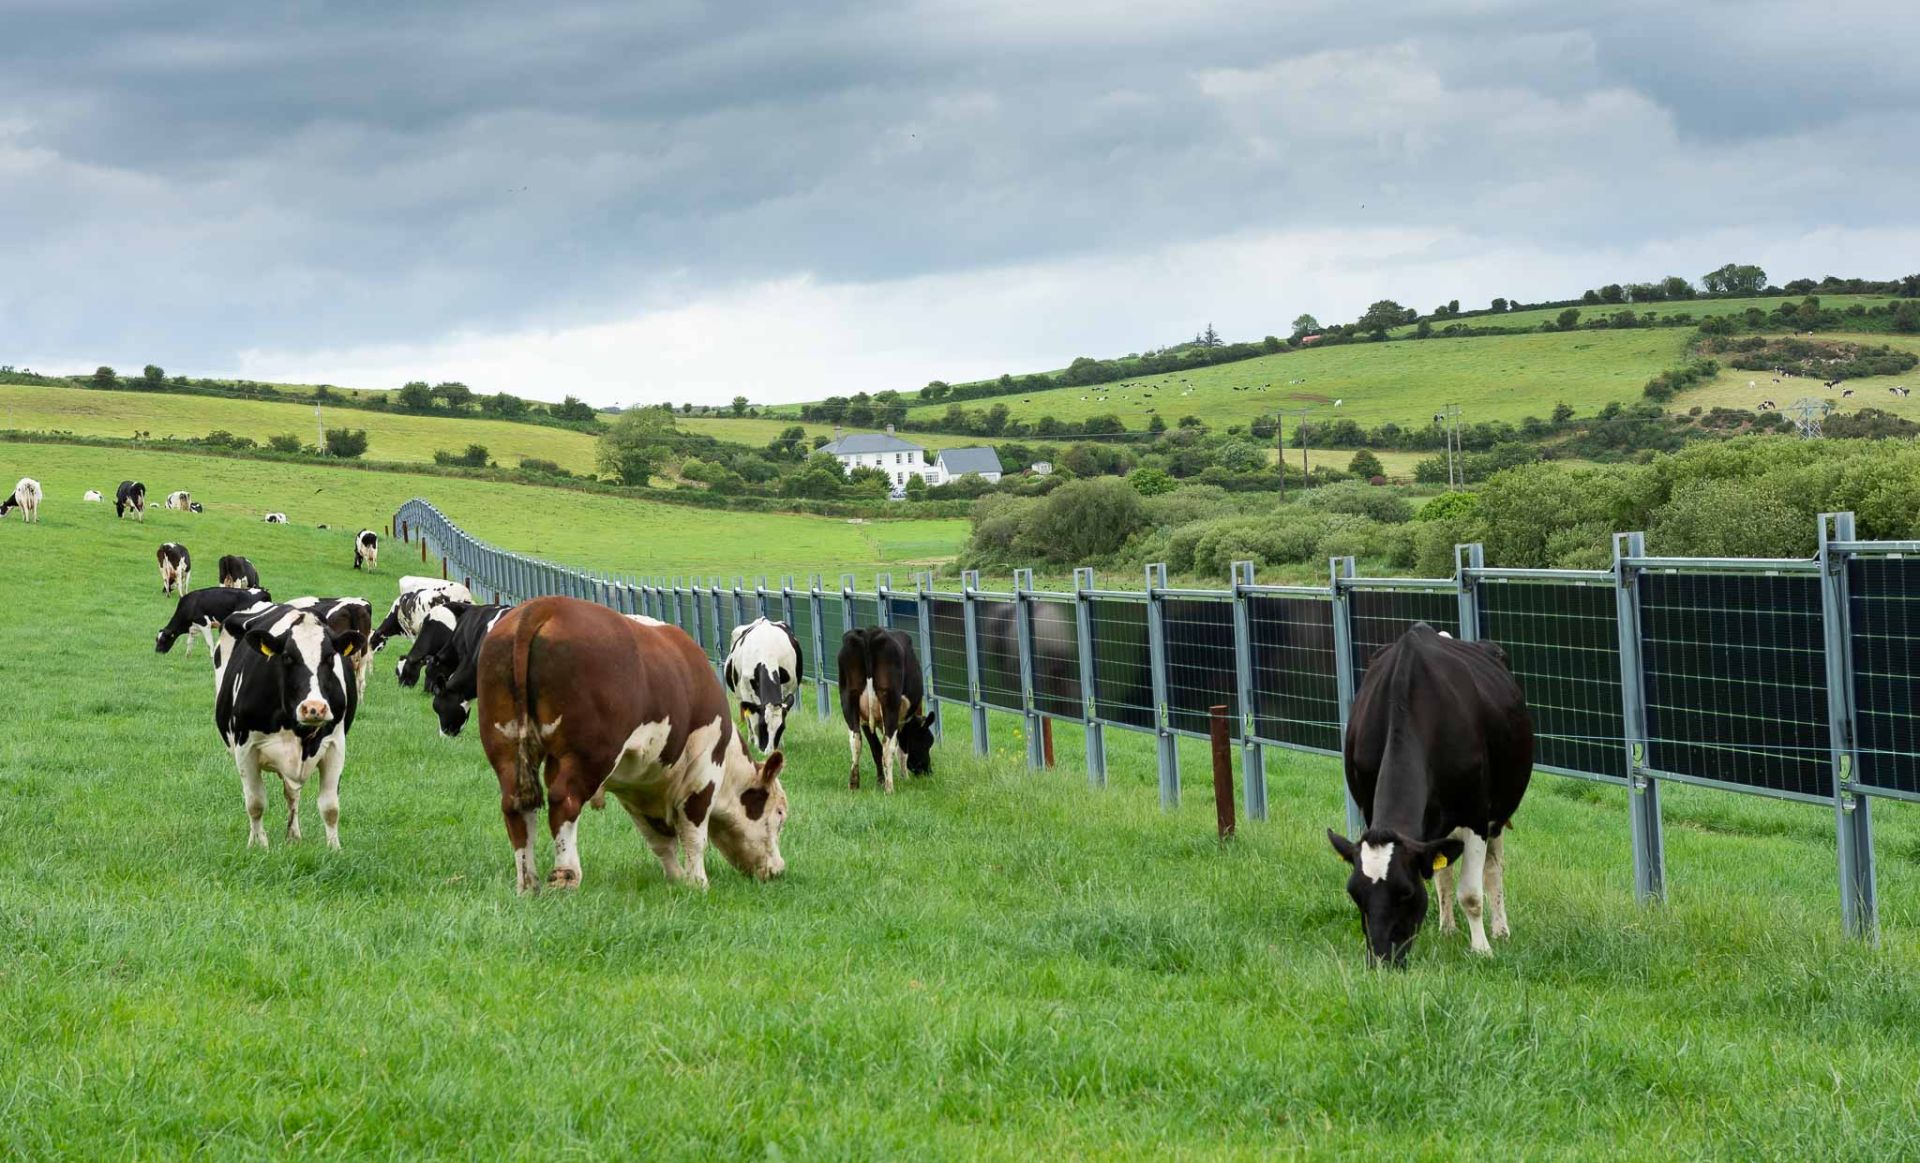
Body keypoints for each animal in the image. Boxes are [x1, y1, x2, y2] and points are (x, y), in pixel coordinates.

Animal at [210, 602, 366, 848]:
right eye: (287, 657)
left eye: (330, 657)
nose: (314, 707)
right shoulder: (245, 748)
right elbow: (255, 803)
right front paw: (258, 846)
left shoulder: (336, 745)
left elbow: (330, 807)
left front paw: (334, 849)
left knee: (292, 795)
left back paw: (294, 836)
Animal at [474, 598, 787, 898]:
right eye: (780, 814)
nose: (778, 870)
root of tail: (542, 606)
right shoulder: (702, 773)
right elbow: (694, 834)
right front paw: (697, 882)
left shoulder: (637, 790)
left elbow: (659, 840)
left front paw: (676, 879)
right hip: (587, 756)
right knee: (565, 801)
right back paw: (566, 876)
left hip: (506, 747)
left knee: (516, 805)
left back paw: (528, 884)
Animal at [725, 621, 802, 756]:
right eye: (762, 725)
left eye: (782, 728)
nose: (769, 752)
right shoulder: (746, 692)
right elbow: (753, 720)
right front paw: (756, 745)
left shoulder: (788, 689)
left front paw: (780, 744)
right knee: (747, 717)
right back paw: (750, 739)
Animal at [837, 629, 933, 794]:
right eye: (927, 742)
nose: (928, 771)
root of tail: (869, 633)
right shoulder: (903, 720)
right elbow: (902, 750)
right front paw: (904, 777)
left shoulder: (864, 720)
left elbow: (875, 749)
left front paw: (880, 781)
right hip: (890, 704)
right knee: (888, 745)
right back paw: (889, 788)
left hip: (848, 700)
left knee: (855, 740)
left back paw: (854, 784)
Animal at [1328, 625, 1536, 971]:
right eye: (1355, 895)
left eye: (1406, 893)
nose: (1382, 961)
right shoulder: (1370, 810)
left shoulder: (1475, 815)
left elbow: (1471, 893)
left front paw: (1482, 949)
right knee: (1444, 873)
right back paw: (1447, 928)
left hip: (1497, 814)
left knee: (1493, 868)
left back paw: (1500, 929)